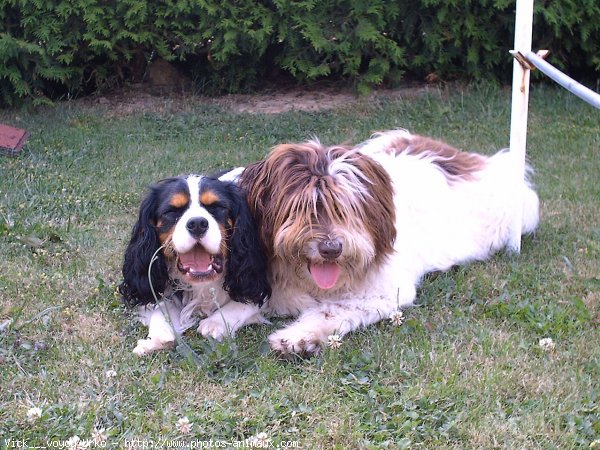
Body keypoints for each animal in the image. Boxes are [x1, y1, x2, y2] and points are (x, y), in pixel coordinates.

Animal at [237, 129, 536, 356]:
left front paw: (297, 337)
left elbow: (332, 311)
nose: (331, 249)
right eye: (300, 207)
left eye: (347, 209)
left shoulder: (387, 291)